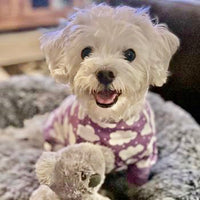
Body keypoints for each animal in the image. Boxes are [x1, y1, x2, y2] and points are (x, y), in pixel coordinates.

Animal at [41, 3, 180, 187]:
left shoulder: (144, 160)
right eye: (85, 52)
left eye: (130, 54)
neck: (113, 124)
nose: (105, 74)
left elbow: (137, 182)